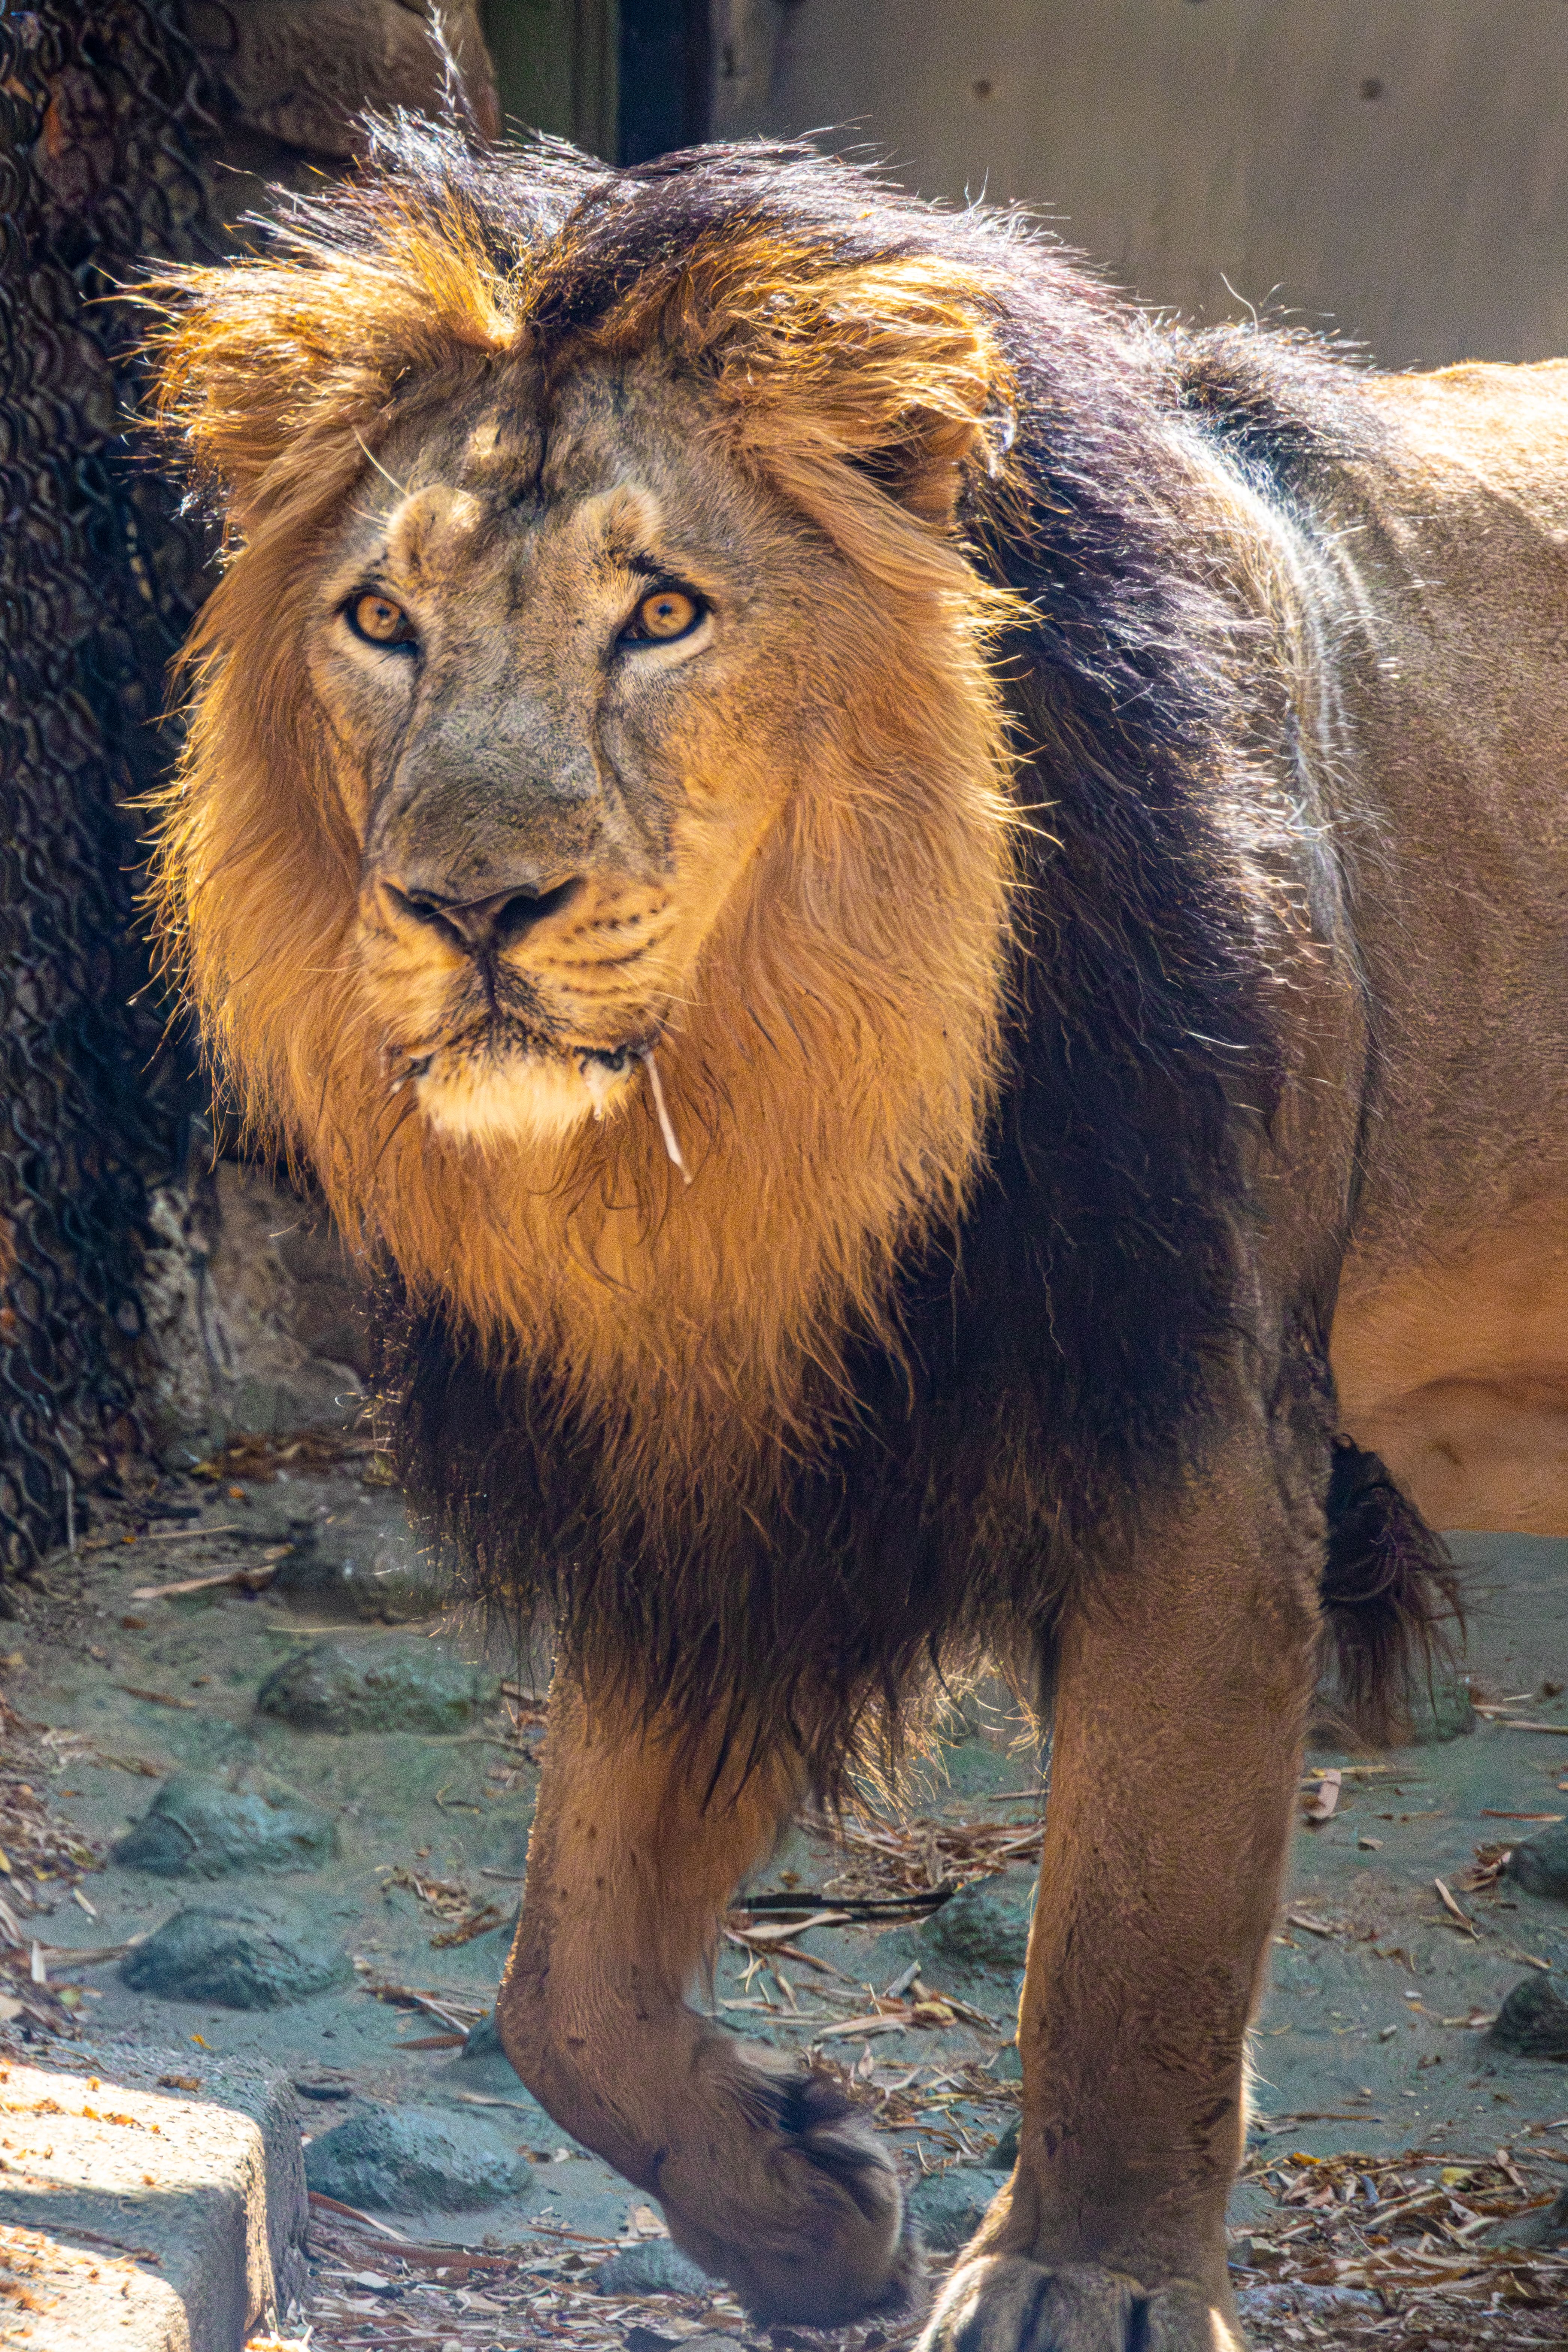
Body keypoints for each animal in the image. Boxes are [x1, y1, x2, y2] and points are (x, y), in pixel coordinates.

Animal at [143, 124, 1568, 2351]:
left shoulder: (1194, 1430)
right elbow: (563, 1982)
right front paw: (807, 2214)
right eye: (381, 618)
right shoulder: (719, 1468)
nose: (471, 906)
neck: (752, 1137)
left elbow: (1130, 1933)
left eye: (662, 610)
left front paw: (1075, 2275)